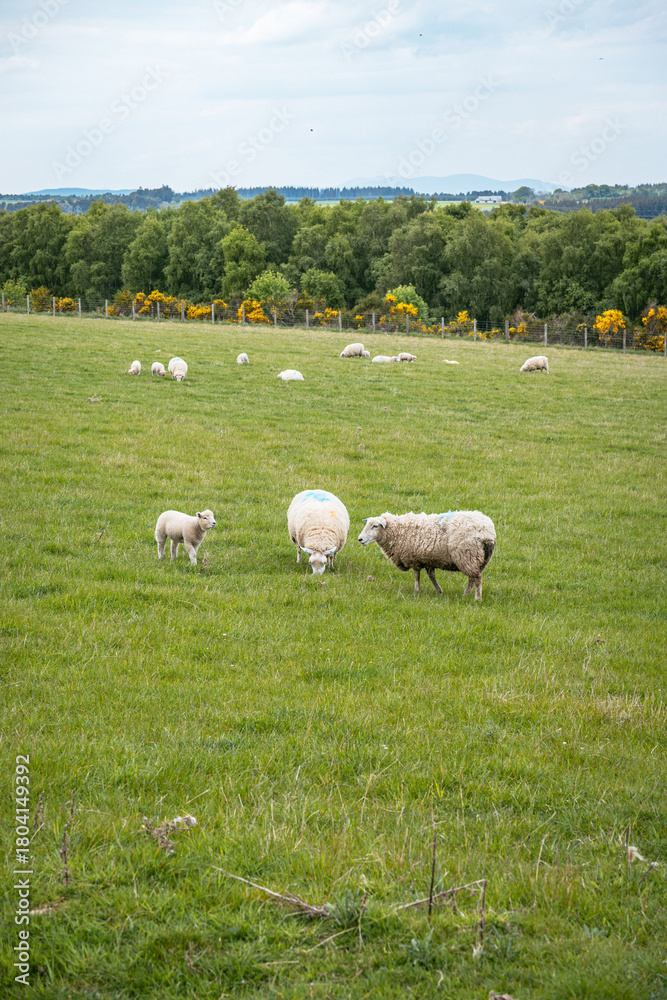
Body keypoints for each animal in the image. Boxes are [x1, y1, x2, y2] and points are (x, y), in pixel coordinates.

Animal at [358, 509, 496, 600]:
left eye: (375, 526)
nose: (360, 539)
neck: (398, 531)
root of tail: (487, 532)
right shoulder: (429, 559)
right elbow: (431, 576)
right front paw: (439, 591)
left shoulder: (413, 558)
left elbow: (417, 576)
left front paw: (416, 591)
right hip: (480, 559)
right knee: (472, 578)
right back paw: (465, 595)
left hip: (468, 555)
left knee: (477, 578)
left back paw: (477, 598)